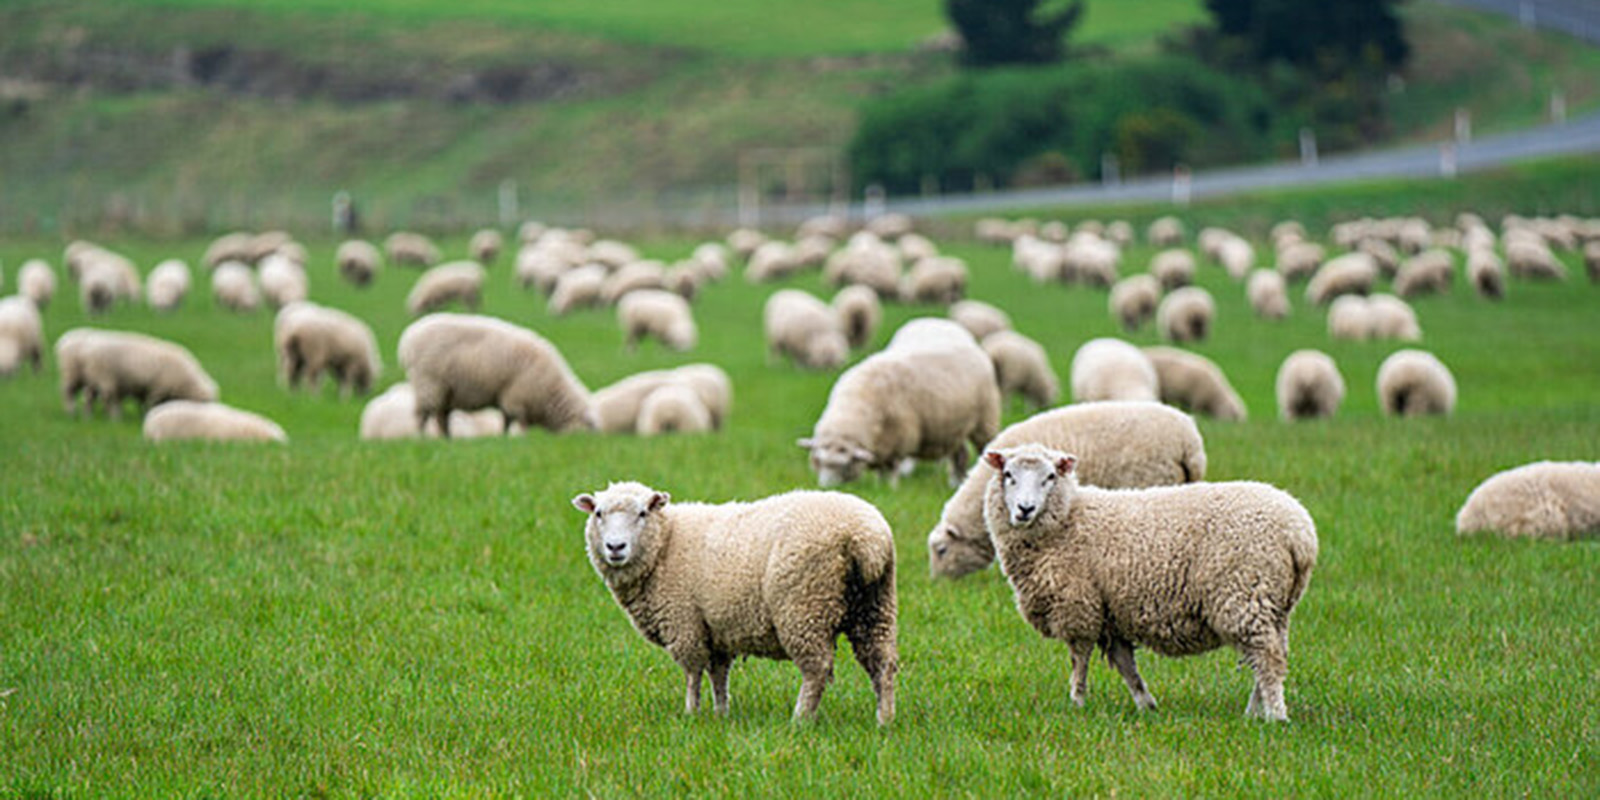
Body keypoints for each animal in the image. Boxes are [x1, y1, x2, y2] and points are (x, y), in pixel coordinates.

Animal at [55, 328, 218, 419]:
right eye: (205, 404)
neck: (186, 380)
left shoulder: (146, 389)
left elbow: (143, 403)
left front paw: (143, 415)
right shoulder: (158, 388)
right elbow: (151, 403)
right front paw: (147, 414)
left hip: (92, 379)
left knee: (89, 397)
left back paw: (88, 416)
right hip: (95, 376)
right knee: (80, 394)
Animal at [398, 313, 595, 435]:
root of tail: (408, 338)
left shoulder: (509, 399)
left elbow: (506, 422)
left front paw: (504, 437)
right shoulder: (517, 398)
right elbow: (519, 422)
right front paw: (523, 439)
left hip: (445, 391)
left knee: (441, 417)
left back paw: (447, 439)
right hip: (428, 384)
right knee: (422, 415)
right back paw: (421, 438)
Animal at [573, 482, 897, 725]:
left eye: (642, 513)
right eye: (598, 513)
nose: (615, 547)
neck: (665, 543)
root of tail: (865, 537)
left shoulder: (684, 624)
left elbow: (692, 674)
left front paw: (691, 713)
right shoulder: (716, 632)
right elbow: (718, 675)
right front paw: (721, 714)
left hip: (804, 605)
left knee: (817, 669)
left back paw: (800, 719)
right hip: (875, 605)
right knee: (883, 663)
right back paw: (884, 720)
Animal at [799, 318, 1000, 487]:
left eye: (844, 464)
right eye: (819, 460)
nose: (825, 488)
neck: (858, 403)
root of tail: (940, 321)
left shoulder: (898, 439)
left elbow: (891, 468)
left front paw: (891, 488)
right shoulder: (881, 445)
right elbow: (881, 470)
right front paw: (880, 487)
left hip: (985, 419)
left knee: (983, 446)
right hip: (955, 426)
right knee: (960, 454)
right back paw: (956, 482)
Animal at [981, 444, 1317, 721]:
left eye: (1050, 477)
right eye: (1008, 475)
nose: (1025, 509)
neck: (1067, 519)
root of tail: (1300, 533)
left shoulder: (1078, 608)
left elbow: (1080, 661)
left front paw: (1076, 704)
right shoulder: (1110, 613)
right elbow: (1126, 665)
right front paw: (1146, 705)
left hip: (1245, 593)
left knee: (1267, 658)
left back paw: (1275, 715)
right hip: (1276, 603)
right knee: (1273, 654)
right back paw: (1254, 711)